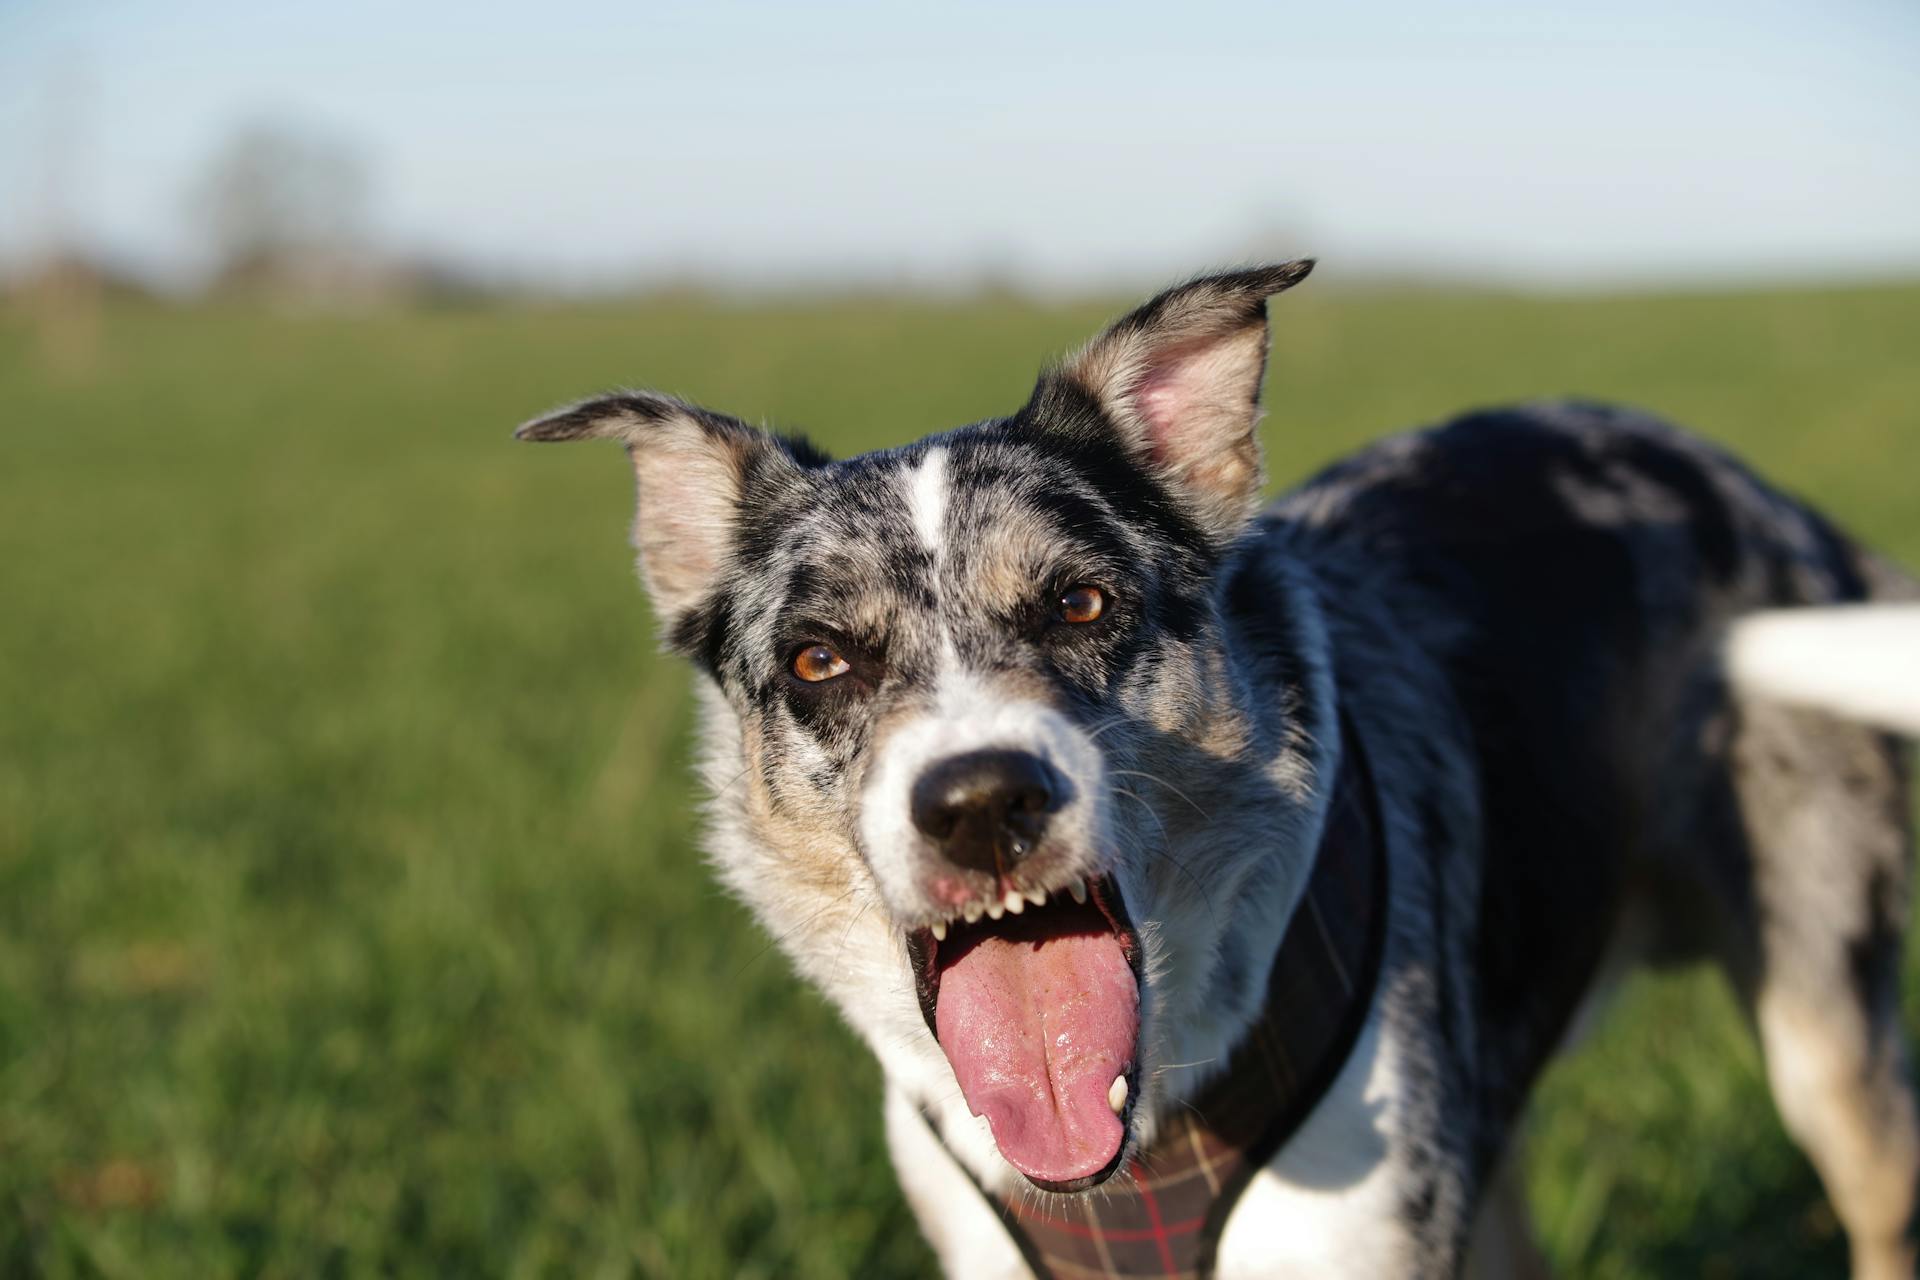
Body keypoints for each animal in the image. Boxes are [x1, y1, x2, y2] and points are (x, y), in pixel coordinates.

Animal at [510, 262, 1920, 1280]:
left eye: (1079, 602)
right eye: (819, 660)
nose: (981, 800)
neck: (1126, 1167)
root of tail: (1775, 495)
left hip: (1826, 1027)